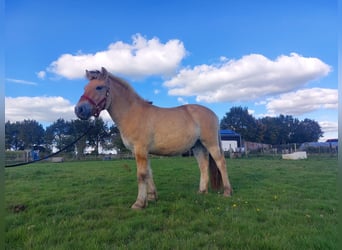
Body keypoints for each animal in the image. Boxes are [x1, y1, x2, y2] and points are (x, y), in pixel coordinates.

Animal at [75, 67, 232, 209]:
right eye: (84, 88)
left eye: (99, 87)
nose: (79, 110)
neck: (132, 113)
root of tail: (213, 113)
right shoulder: (142, 152)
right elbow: (149, 173)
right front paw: (151, 197)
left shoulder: (140, 149)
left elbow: (141, 175)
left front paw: (139, 203)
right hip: (198, 146)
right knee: (203, 165)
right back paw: (202, 192)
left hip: (210, 143)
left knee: (221, 162)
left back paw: (227, 192)